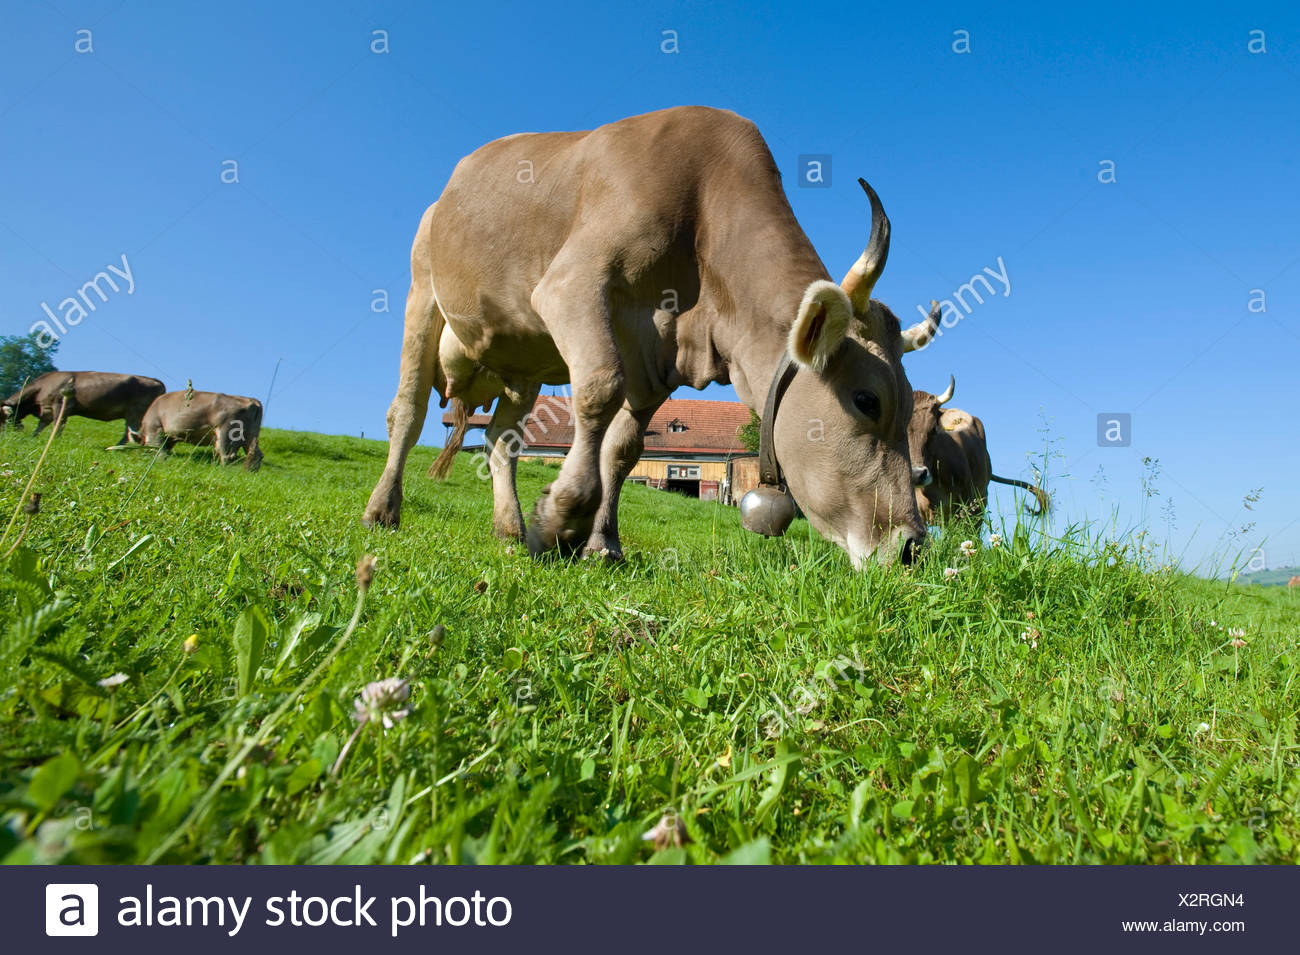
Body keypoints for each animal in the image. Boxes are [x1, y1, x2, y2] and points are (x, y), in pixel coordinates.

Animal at [1, 370, 165, 445]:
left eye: (1, 418)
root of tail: (155, 381)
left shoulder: (61, 406)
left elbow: (58, 426)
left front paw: (55, 441)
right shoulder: (46, 411)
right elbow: (39, 427)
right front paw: (32, 438)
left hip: (135, 413)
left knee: (130, 433)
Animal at [131, 390, 264, 470]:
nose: (138, 455)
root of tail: (252, 401)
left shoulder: (154, 428)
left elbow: (158, 447)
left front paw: (161, 460)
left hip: (226, 433)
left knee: (227, 455)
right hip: (251, 435)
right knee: (256, 454)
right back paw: (249, 471)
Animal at [363, 106, 943, 567]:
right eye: (867, 400)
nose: (914, 546)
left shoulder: (657, 359)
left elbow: (623, 448)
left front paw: (604, 544)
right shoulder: (571, 288)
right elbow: (599, 388)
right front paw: (562, 518)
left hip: (522, 364)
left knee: (502, 440)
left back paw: (508, 529)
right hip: (422, 295)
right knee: (407, 411)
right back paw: (383, 509)